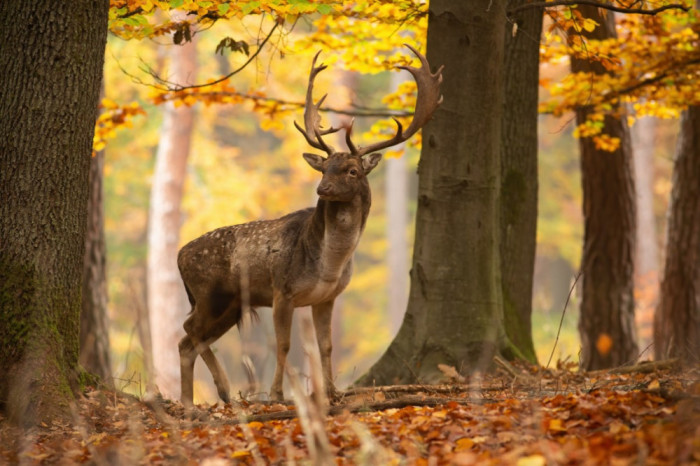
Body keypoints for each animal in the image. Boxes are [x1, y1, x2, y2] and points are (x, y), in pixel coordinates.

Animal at [179, 44, 442, 408]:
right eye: (324, 168)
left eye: (352, 171)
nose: (323, 188)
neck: (328, 265)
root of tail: (178, 256)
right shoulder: (282, 290)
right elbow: (284, 344)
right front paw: (277, 394)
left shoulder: (327, 298)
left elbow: (325, 346)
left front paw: (332, 392)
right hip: (210, 294)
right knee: (189, 332)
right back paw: (222, 388)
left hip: (229, 305)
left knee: (187, 341)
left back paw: (189, 401)